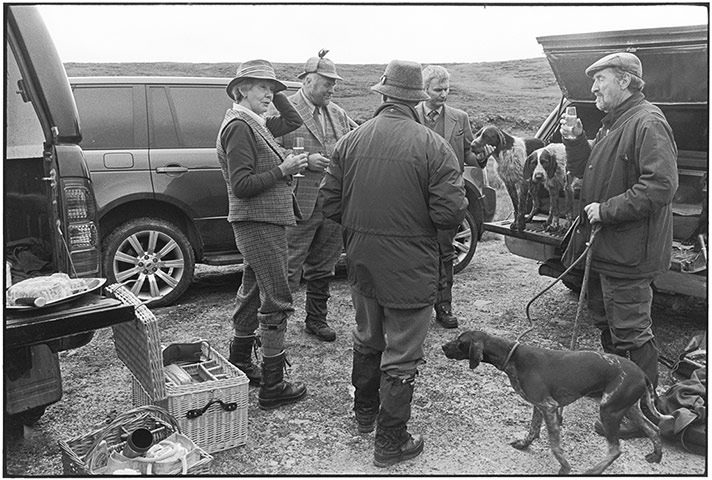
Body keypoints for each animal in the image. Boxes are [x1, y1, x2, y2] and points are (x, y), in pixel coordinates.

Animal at [440, 330, 672, 476]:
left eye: (460, 341)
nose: (442, 346)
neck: (513, 357)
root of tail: (642, 374)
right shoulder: (538, 405)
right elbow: (533, 431)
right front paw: (524, 445)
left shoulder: (549, 407)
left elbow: (554, 447)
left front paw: (565, 469)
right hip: (627, 408)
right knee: (653, 429)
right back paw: (657, 455)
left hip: (609, 411)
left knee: (615, 449)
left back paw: (593, 471)